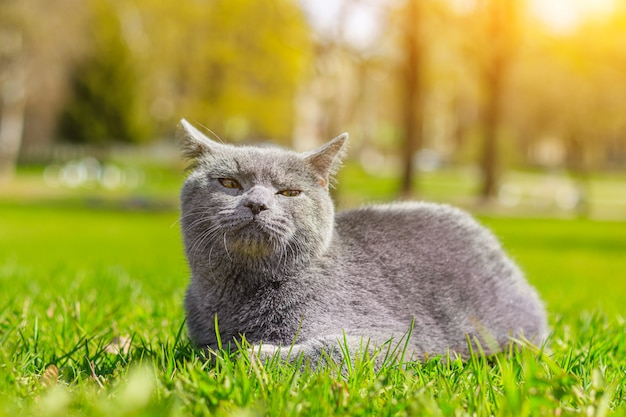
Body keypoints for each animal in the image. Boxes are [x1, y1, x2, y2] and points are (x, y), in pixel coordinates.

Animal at [177, 118, 544, 362]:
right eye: (229, 183)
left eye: (290, 192)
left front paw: (247, 353)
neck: (240, 296)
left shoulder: (389, 339)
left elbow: (326, 352)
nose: (256, 203)